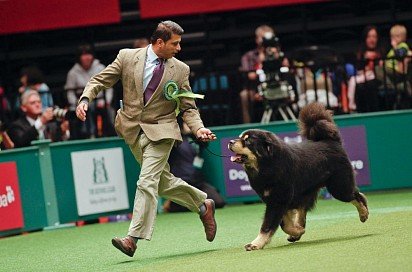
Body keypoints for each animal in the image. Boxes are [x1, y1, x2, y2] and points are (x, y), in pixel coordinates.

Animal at [229, 102, 370, 251]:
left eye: (247, 141)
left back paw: (364, 213)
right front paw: (297, 231)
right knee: (303, 209)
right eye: (240, 137)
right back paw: (297, 232)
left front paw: (256, 243)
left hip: (339, 188)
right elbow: (284, 223)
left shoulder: (278, 200)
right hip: (307, 190)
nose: (230, 142)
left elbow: (268, 225)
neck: (268, 165)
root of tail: (332, 141)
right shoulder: (278, 201)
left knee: (357, 196)